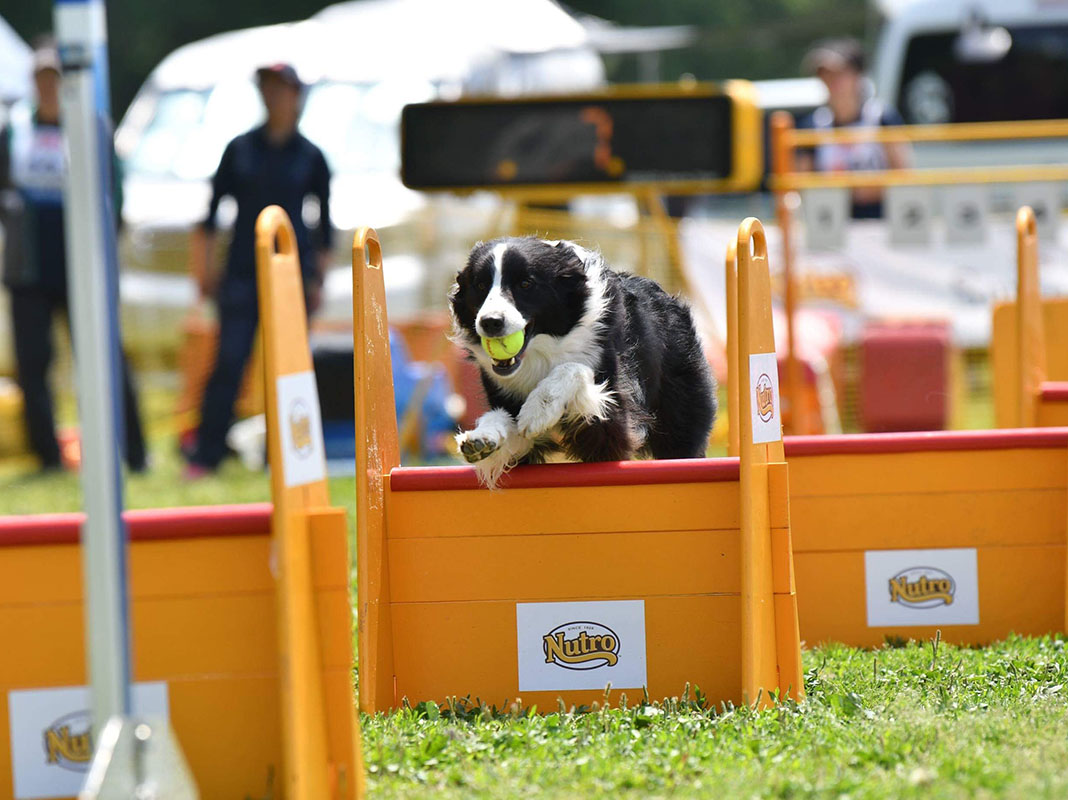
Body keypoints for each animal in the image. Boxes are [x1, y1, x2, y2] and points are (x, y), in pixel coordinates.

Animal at [446, 236, 713, 487]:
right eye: (480, 285)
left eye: (525, 284)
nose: (490, 322)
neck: (543, 351)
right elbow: (505, 425)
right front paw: (483, 437)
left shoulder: (612, 429)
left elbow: (574, 368)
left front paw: (538, 410)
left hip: (680, 421)